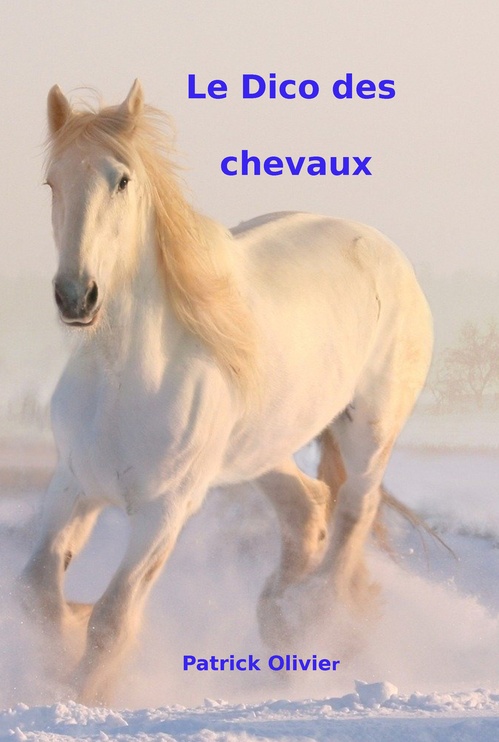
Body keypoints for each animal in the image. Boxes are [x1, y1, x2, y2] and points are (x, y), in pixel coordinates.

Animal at [20, 80, 433, 705]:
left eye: (122, 180)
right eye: (52, 181)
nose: (76, 296)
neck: (123, 380)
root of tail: (387, 252)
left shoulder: (166, 509)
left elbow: (113, 617)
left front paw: (84, 692)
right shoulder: (73, 485)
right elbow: (37, 593)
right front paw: (60, 652)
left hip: (370, 429)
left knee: (353, 512)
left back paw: (316, 621)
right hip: (260, 449)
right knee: (308, 506)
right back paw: (281, 625)